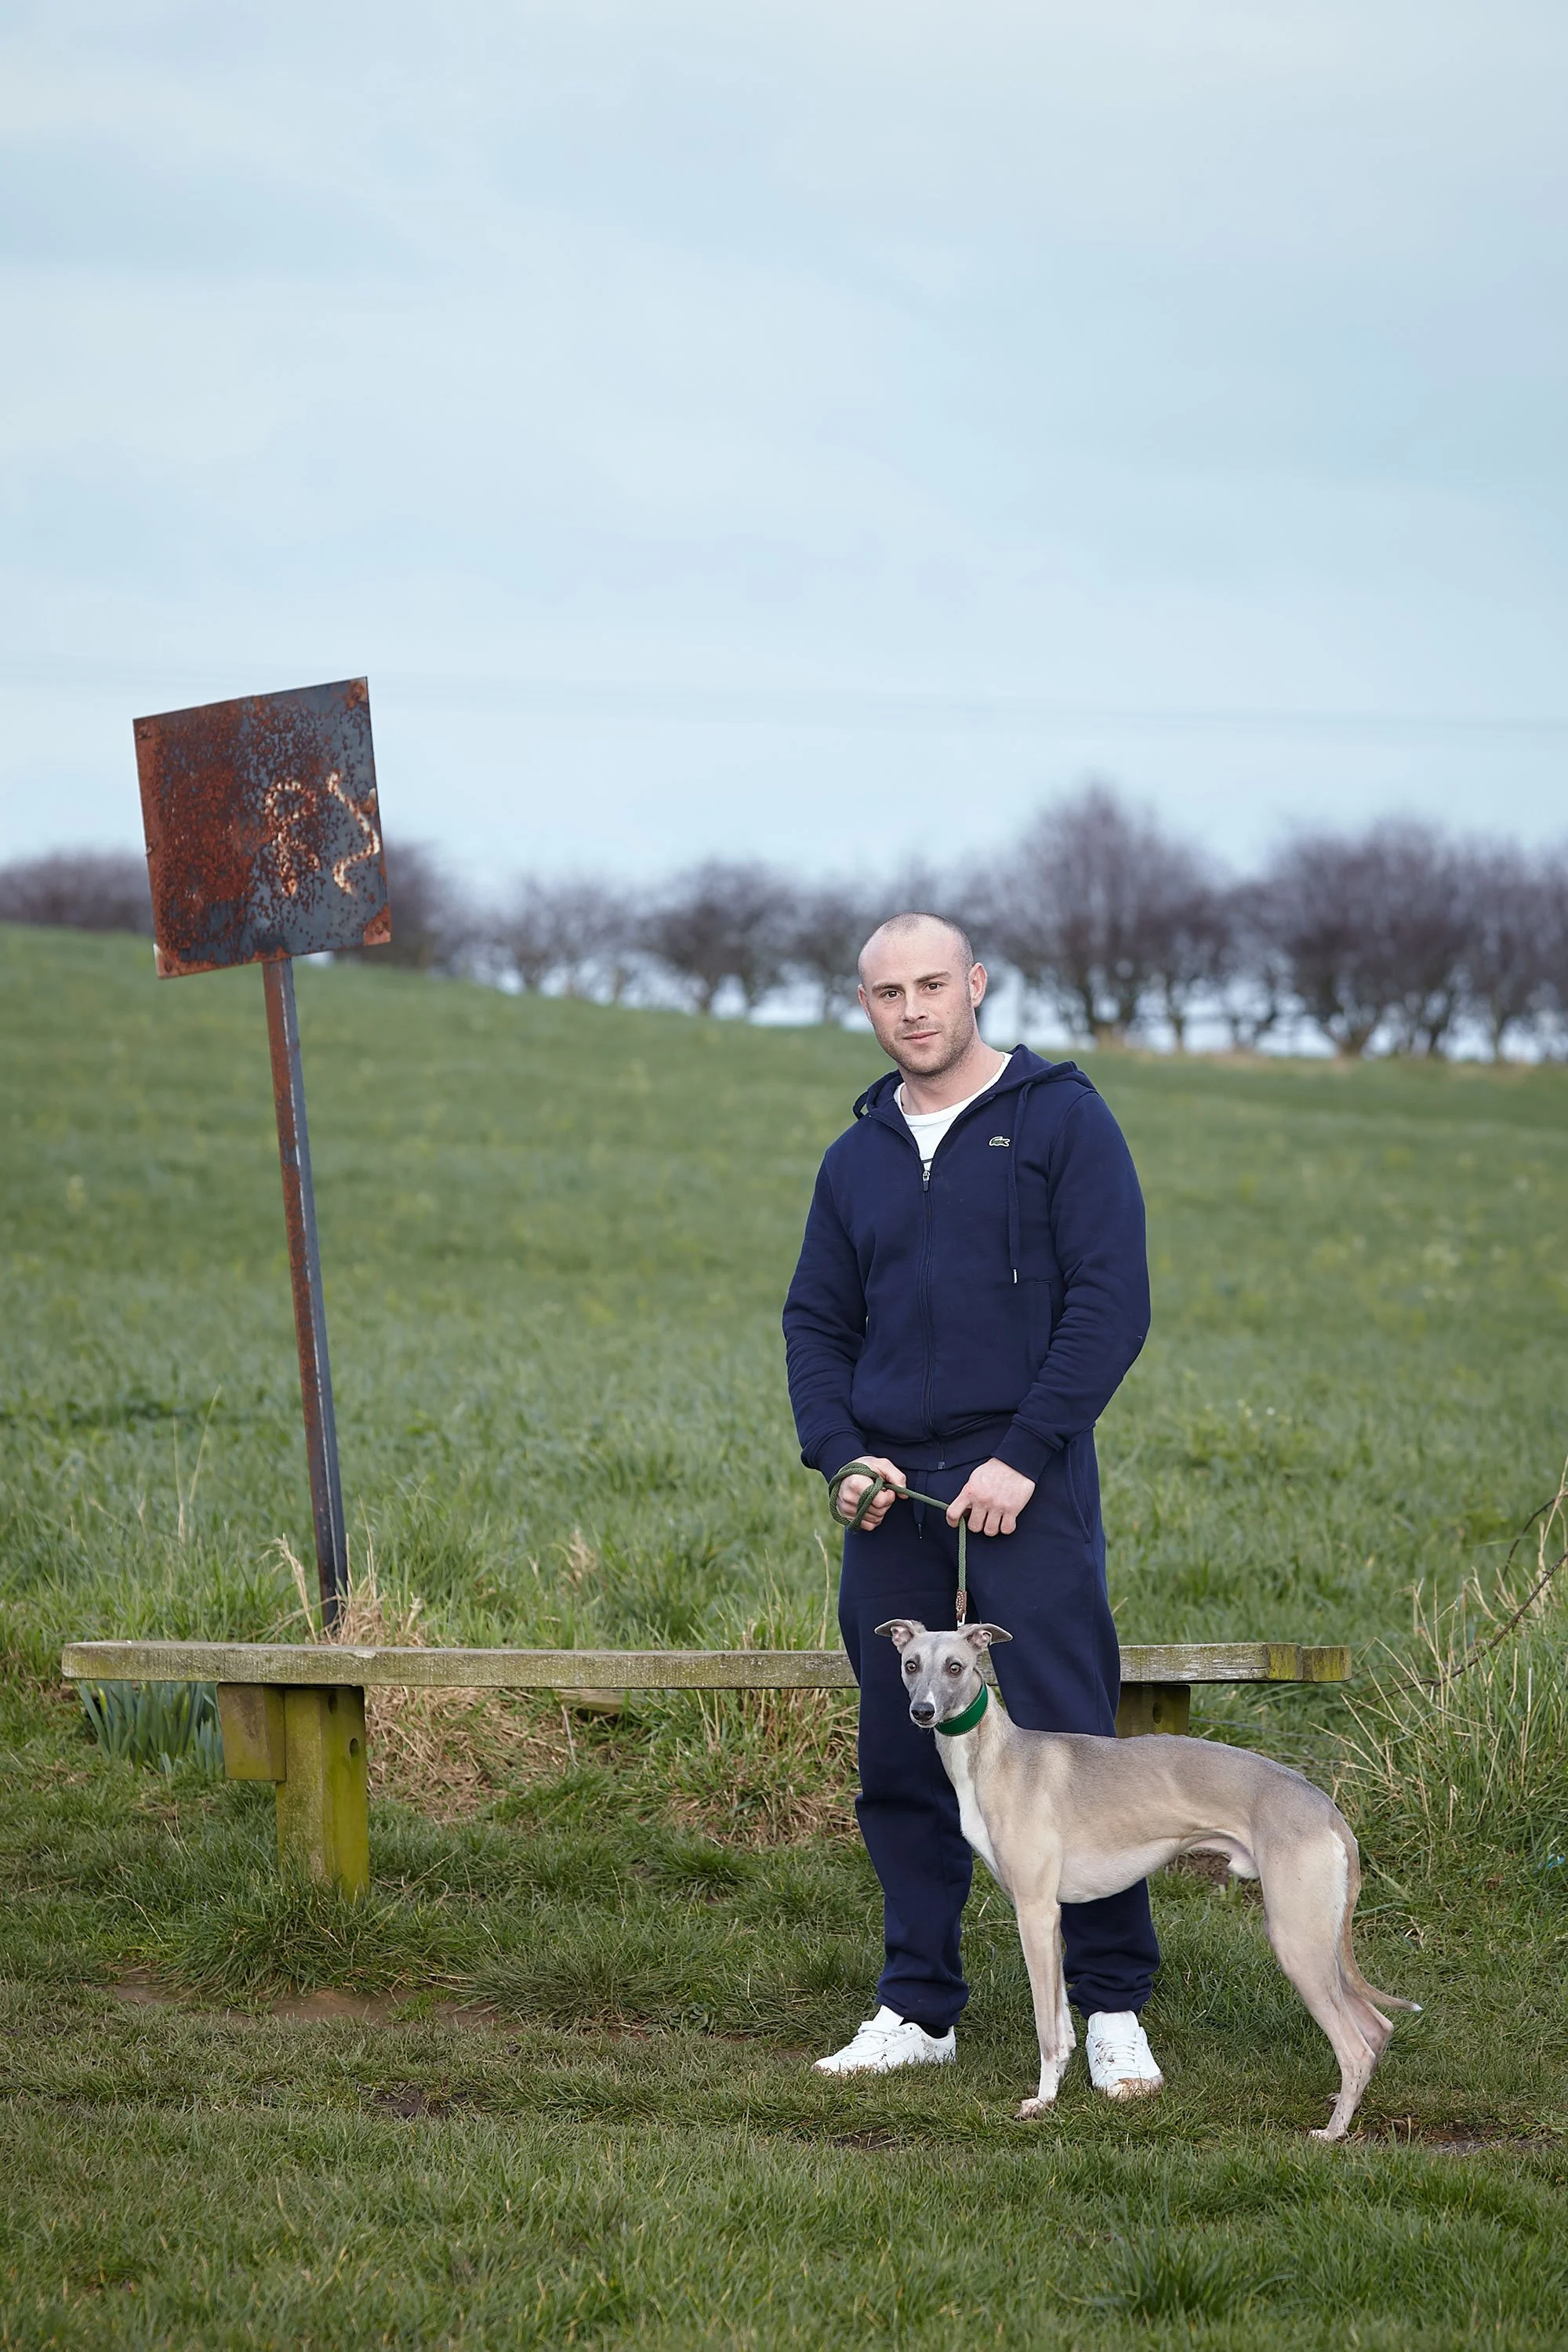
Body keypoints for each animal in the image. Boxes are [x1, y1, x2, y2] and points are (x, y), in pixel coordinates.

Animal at [876, 1618, 1418, 2141]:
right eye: (910, 1664)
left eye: (955, 1666)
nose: (923, 1712)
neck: (997, 1756)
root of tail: (1327, 1810)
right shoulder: (1050, 1917)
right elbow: (1061, 2023)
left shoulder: (1034, 1911)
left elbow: (1047, 2029)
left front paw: (1043, 2103)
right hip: (1320, 1937)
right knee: (1376, 2027)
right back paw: (1343, 2104)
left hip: (1296, 1938)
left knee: (1355, 2046)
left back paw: (1331, 2133)